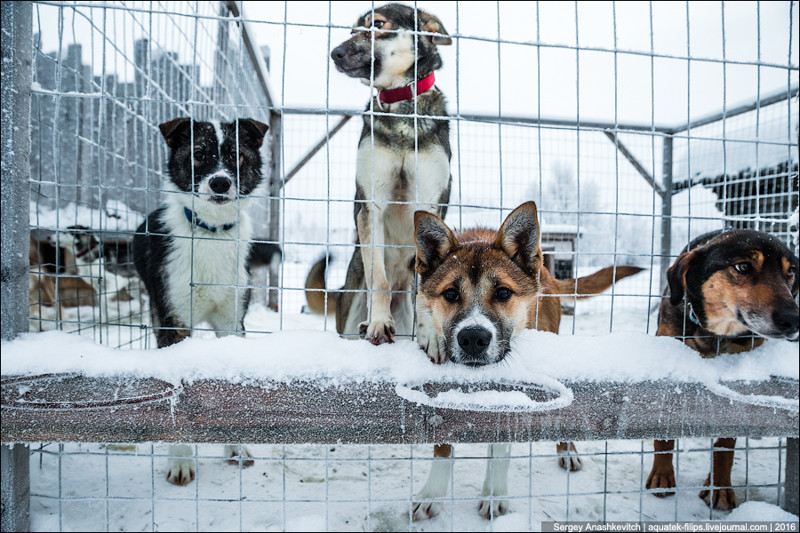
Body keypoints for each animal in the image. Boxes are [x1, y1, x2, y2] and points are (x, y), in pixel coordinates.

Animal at [133, 117, 268, 486]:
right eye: (199, 154)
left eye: (235, 155)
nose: (220, 182)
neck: (211, 232)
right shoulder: (173, 320)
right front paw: (180, 459)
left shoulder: (231, 321)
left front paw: (236, 446)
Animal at [412, 202, 644, 516]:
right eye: (450, 293)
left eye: (502, 292)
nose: (473, 338)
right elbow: (442, 446)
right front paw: (432, 494)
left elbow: (500, 446)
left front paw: (494, 495)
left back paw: (567, 450)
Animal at [648, 228, 800, 508]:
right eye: (743, 267)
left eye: (790, 273)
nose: (794, 320)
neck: (718, 333)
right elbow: (663, 432)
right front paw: (662, 475)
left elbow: (725, 443)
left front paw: (719, 487)